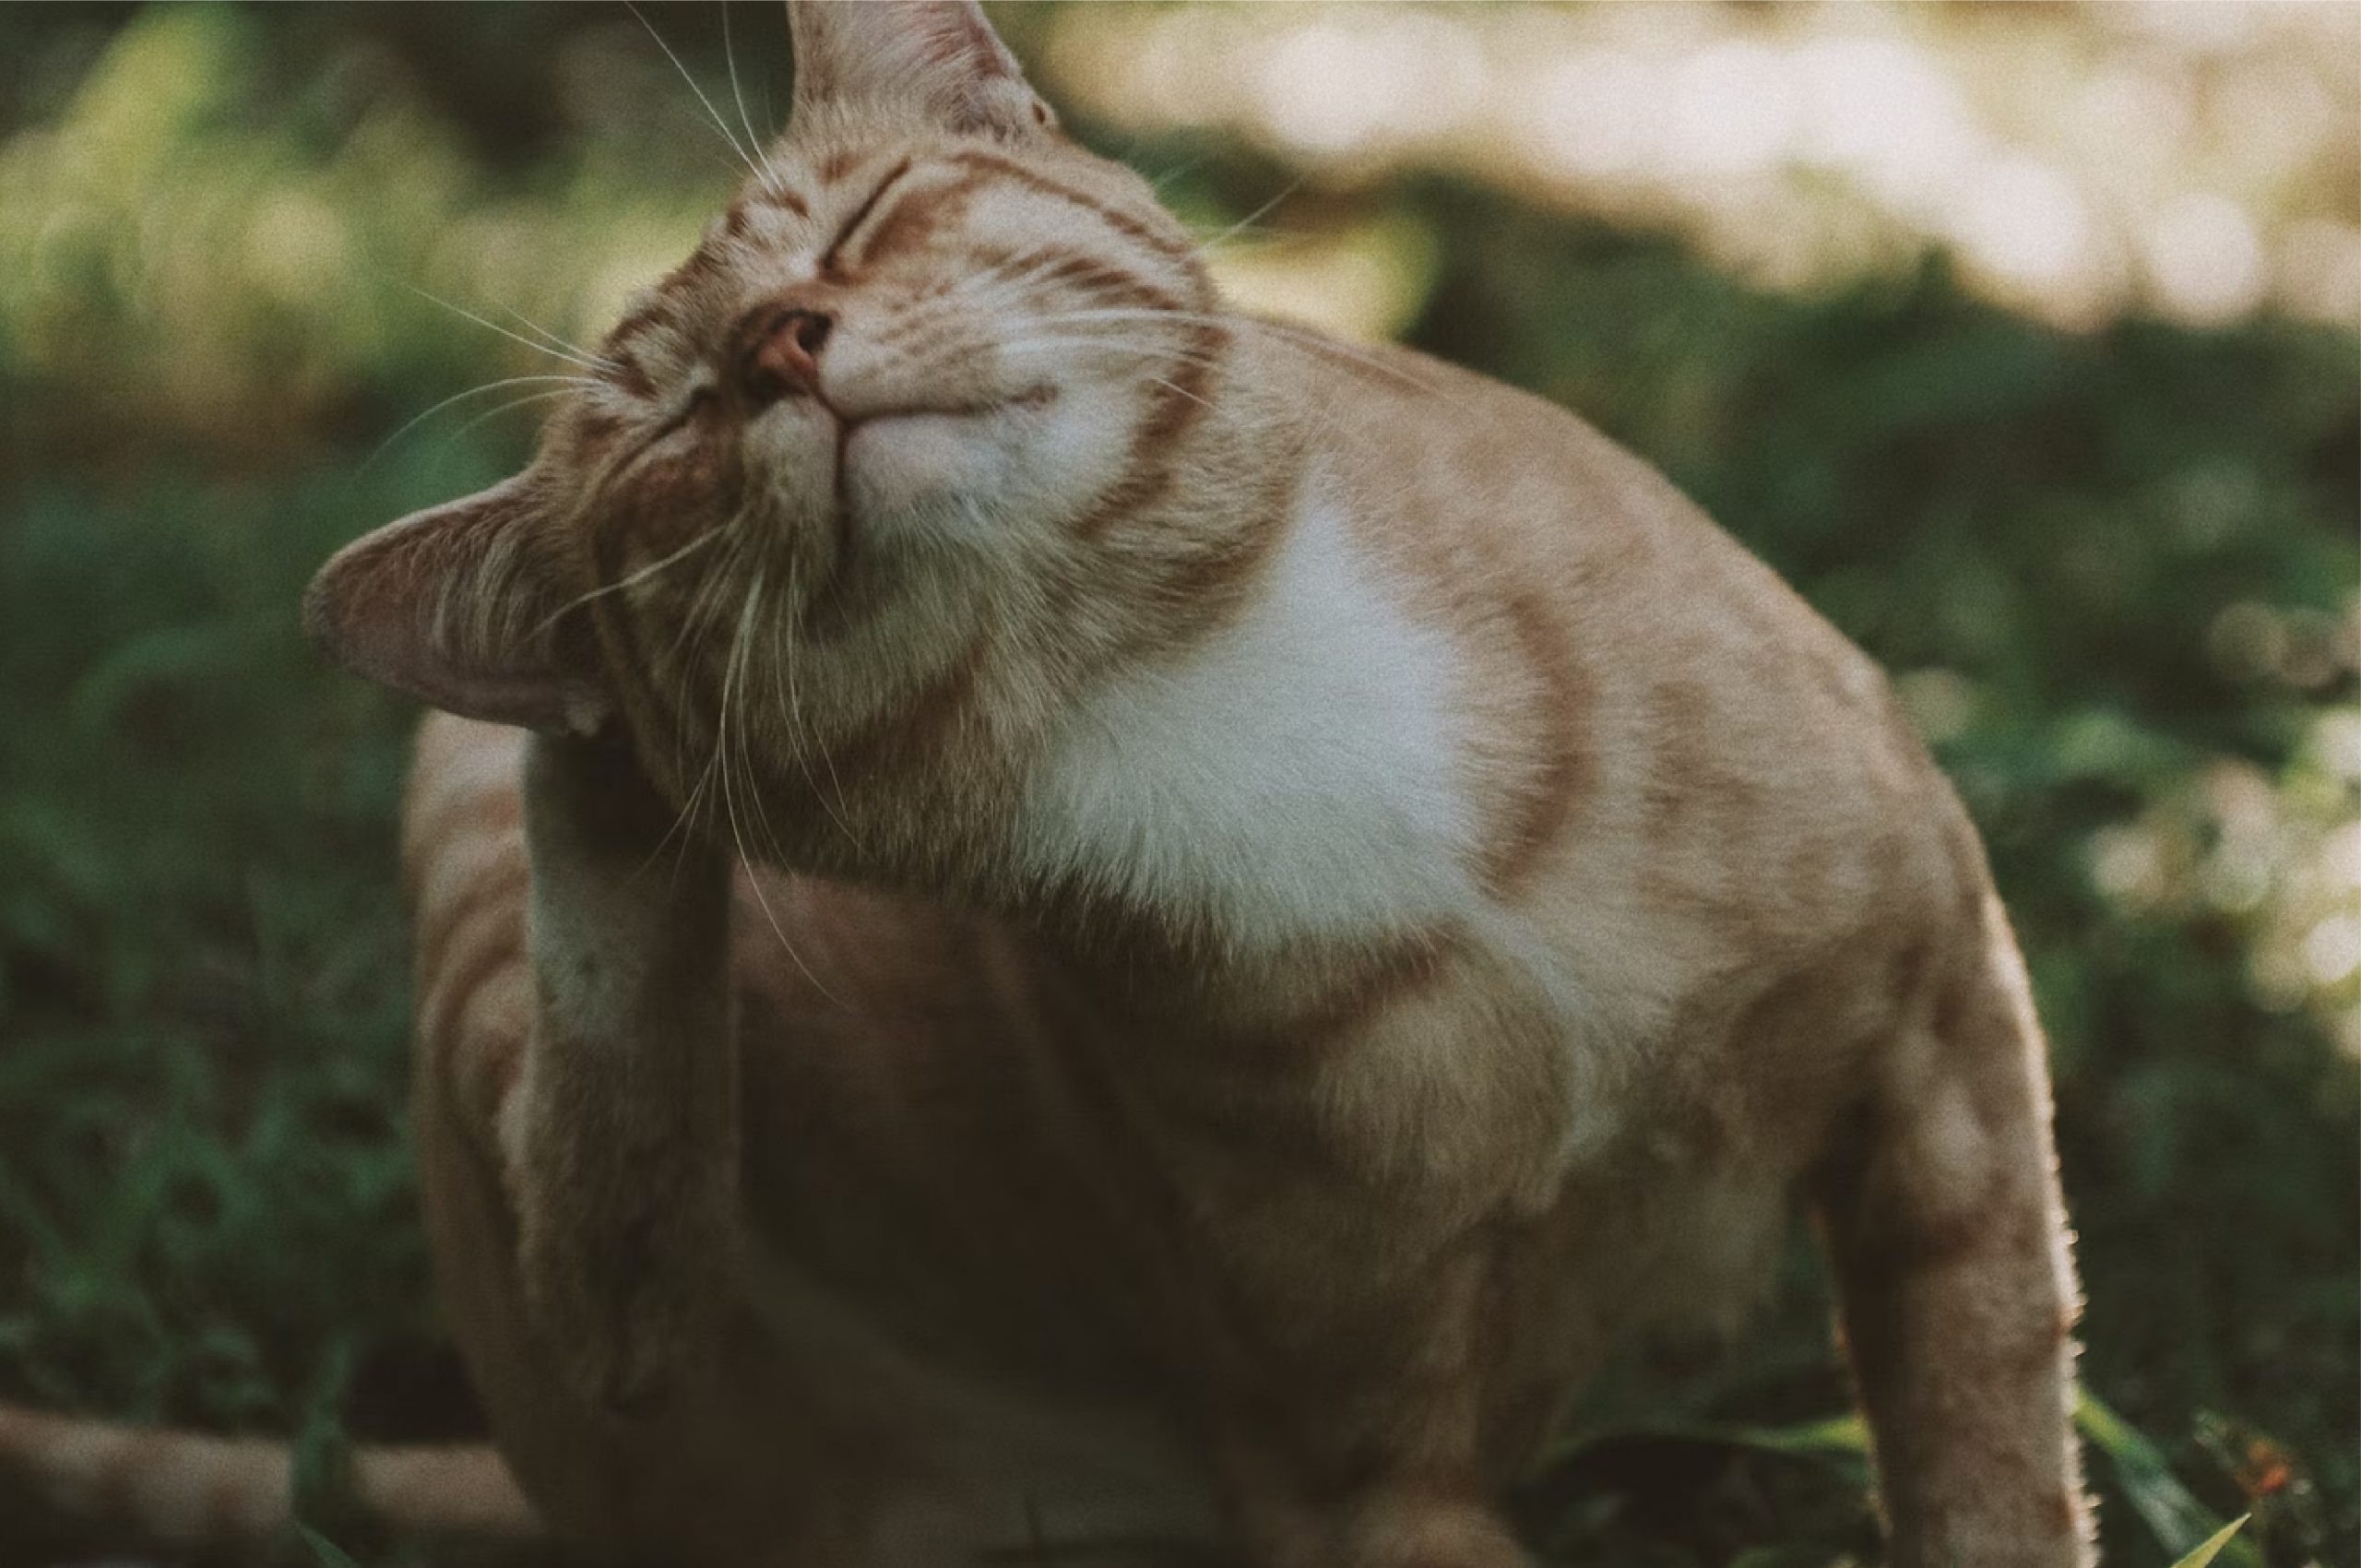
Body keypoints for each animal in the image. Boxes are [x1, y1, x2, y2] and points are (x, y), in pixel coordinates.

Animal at [9, 3, 2096, 1568]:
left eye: (860, 221)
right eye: (669, 437)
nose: (778, 348)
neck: (1181, 676)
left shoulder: (1946, 1044)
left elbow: (1994, 1467)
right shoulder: (1361, 1475)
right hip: (518, 1019)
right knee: (619, 1231)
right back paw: (607, 760)